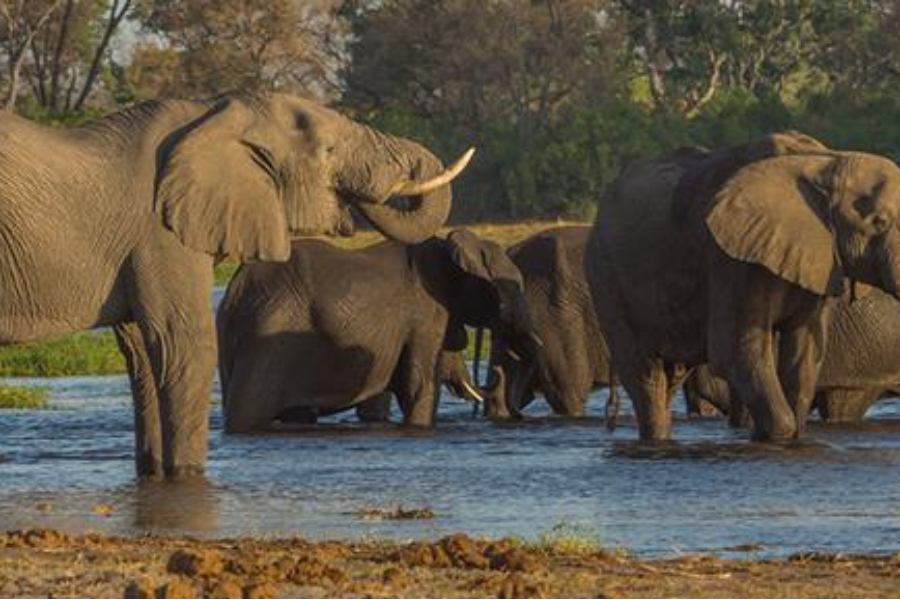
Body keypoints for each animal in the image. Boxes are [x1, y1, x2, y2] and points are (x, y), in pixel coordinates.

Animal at [0, 92, 474, 478]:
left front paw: (154, 476)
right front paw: (187, 478)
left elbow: (143, 355)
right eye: (328, 150)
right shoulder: (161, 233)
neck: (212, 115)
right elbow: (183, 345)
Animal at [220, 230, 540, 432]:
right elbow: (419, 384)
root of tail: (237, 287)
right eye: (515, 292)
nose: (495, 372)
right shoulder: (426, 312)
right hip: (268, 338)